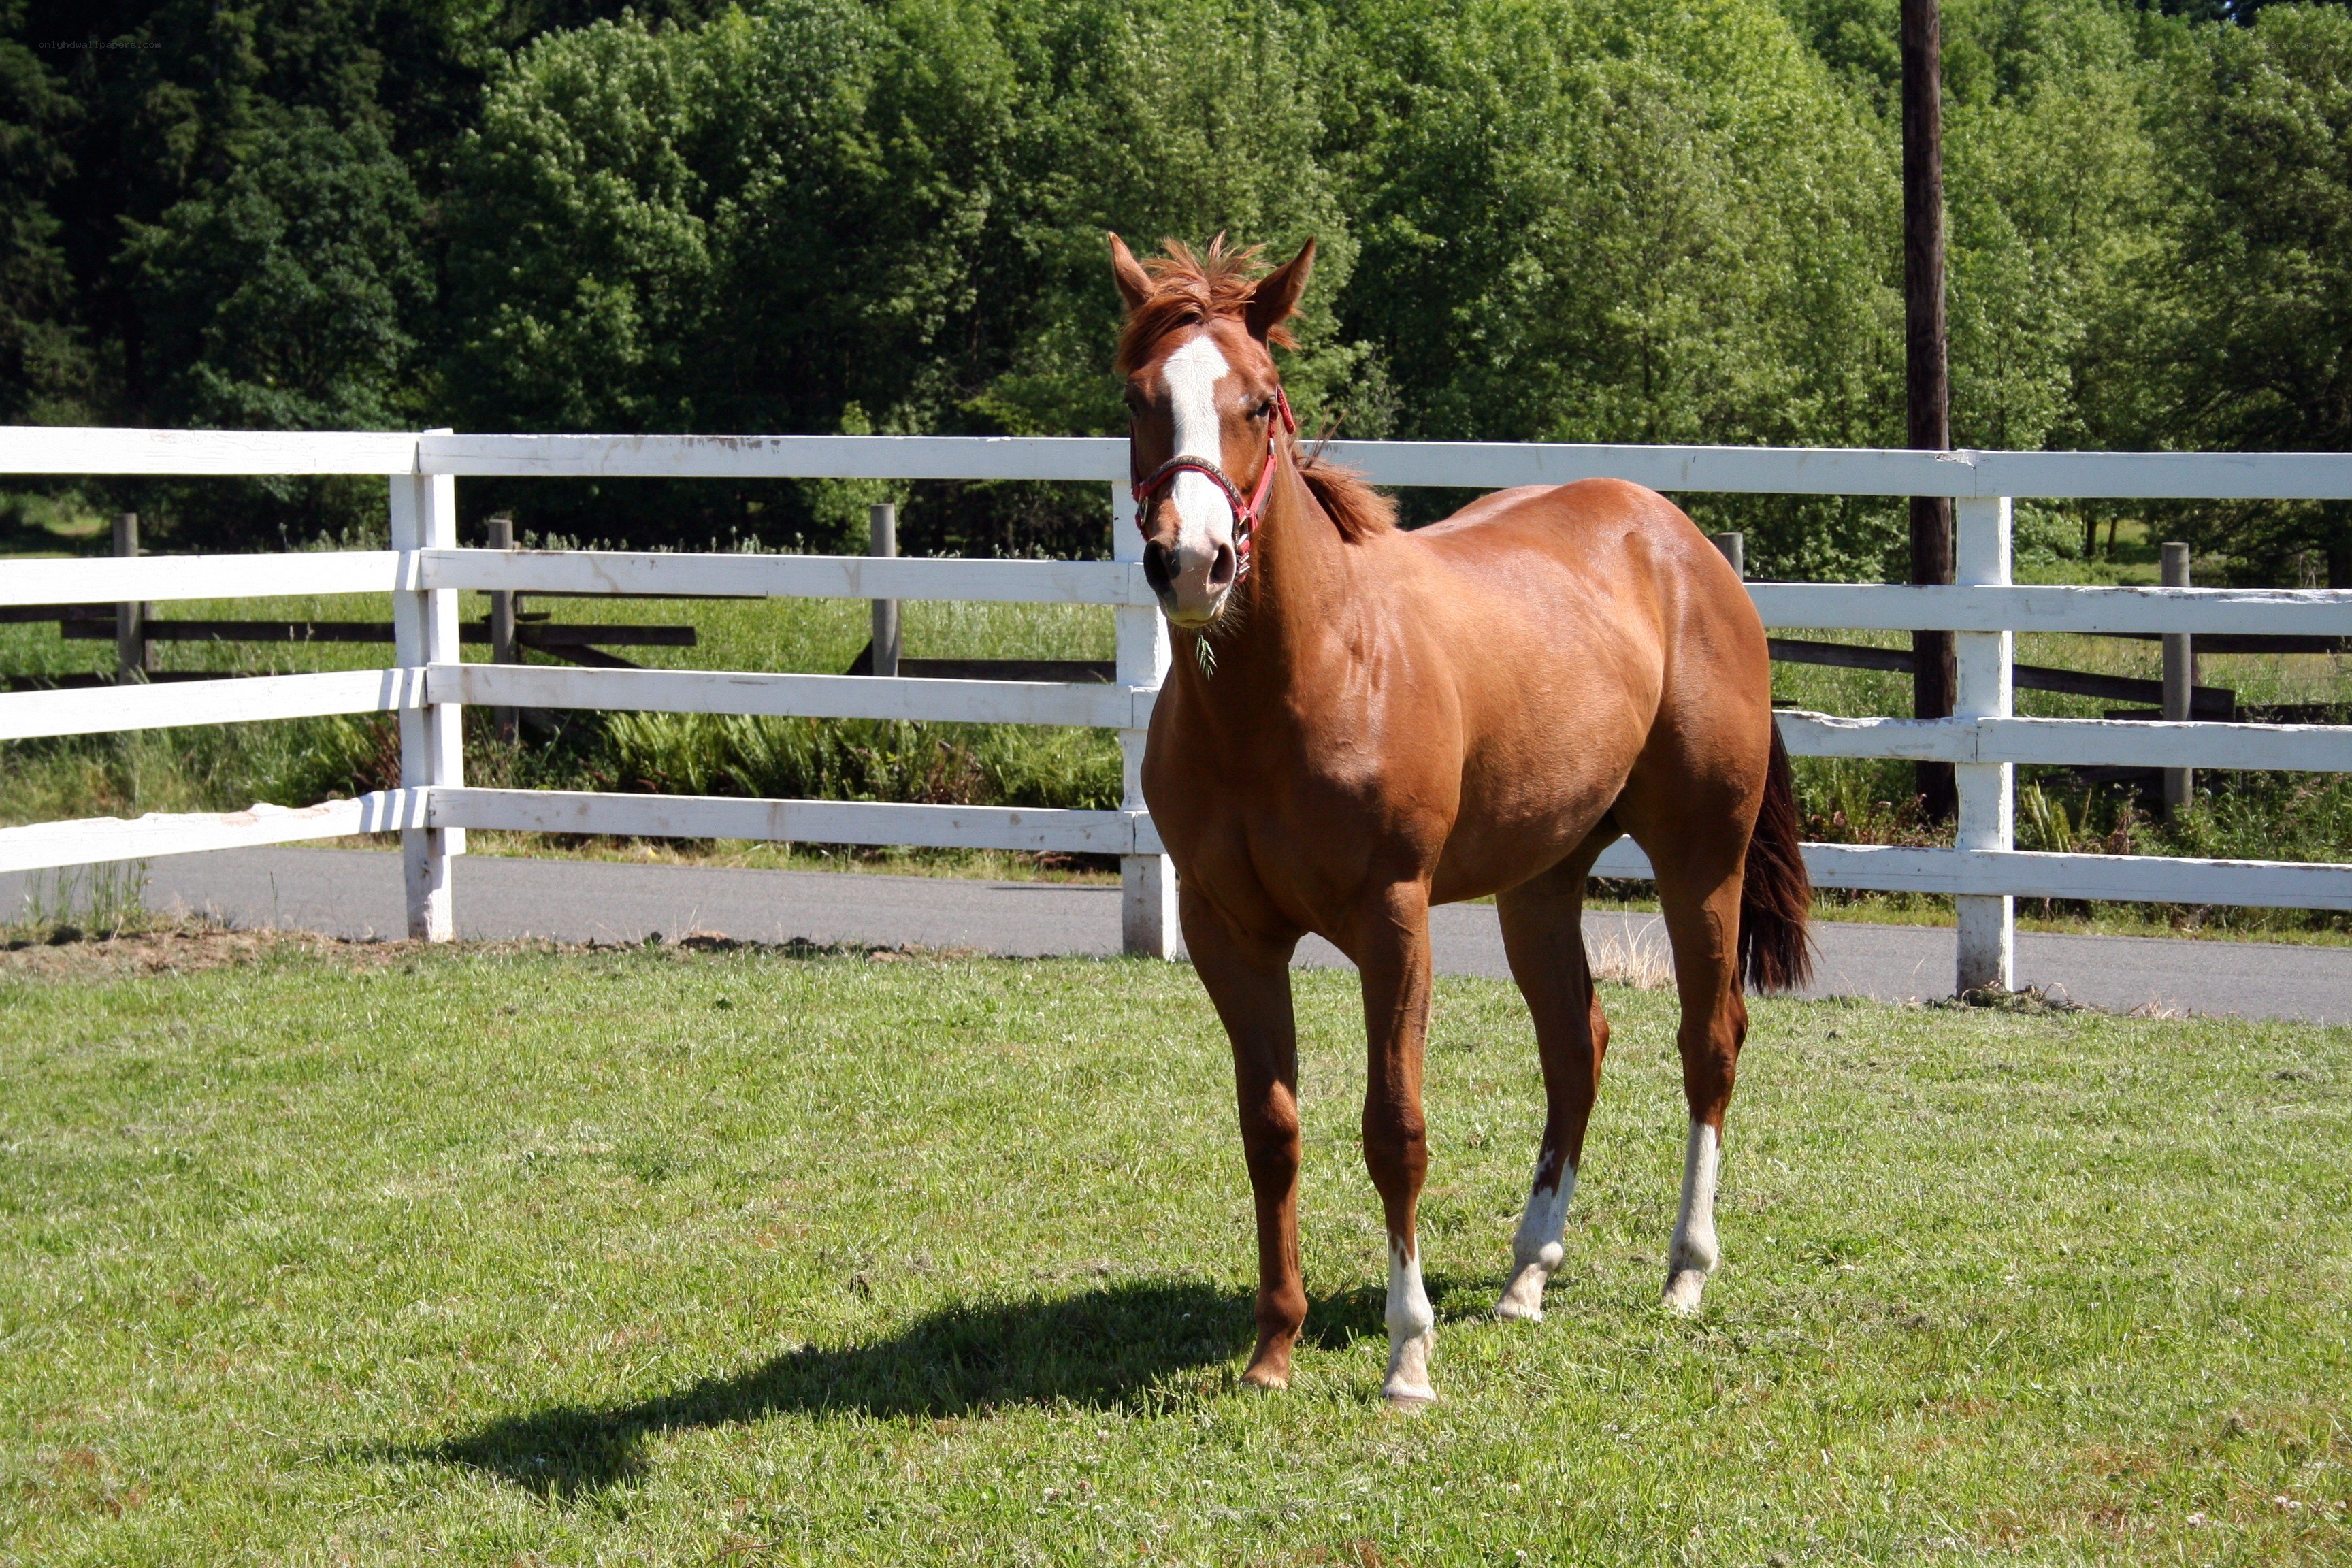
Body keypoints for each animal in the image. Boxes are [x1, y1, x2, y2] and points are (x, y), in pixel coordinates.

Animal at [1111, 233, 1813, 1406]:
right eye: (1139, 398)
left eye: (1259, 400)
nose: (1192, 562)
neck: (1299, 681)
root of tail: (1684, 544)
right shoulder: (1228, 933)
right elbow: (1271, 1129)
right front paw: (1272, 1348)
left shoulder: (1395, 922)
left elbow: (1394, 1131)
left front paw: (1408, 1355)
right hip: (1541, 883)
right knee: (1576, 1047)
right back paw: (1529, 1272)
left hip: (1700, 862)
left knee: (1709, 1041)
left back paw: (1684, 1272)